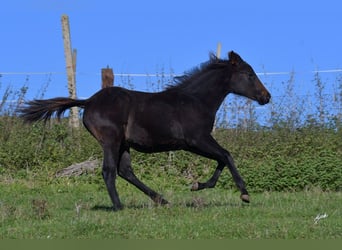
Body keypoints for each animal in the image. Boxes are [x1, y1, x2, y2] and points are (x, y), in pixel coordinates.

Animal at [19, 51, 270, 211]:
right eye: (249, 74)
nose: (266, 97)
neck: (195, 101)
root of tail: (88, 101)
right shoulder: (196, 140)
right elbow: (226, 155)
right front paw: (244, 193)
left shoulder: (199, 142)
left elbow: (221, 158)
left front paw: (198, 185)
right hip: (111, 140)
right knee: (109, 171)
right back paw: (119, 207)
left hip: (123, 144)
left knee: (125, 171)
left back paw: (161, 200)